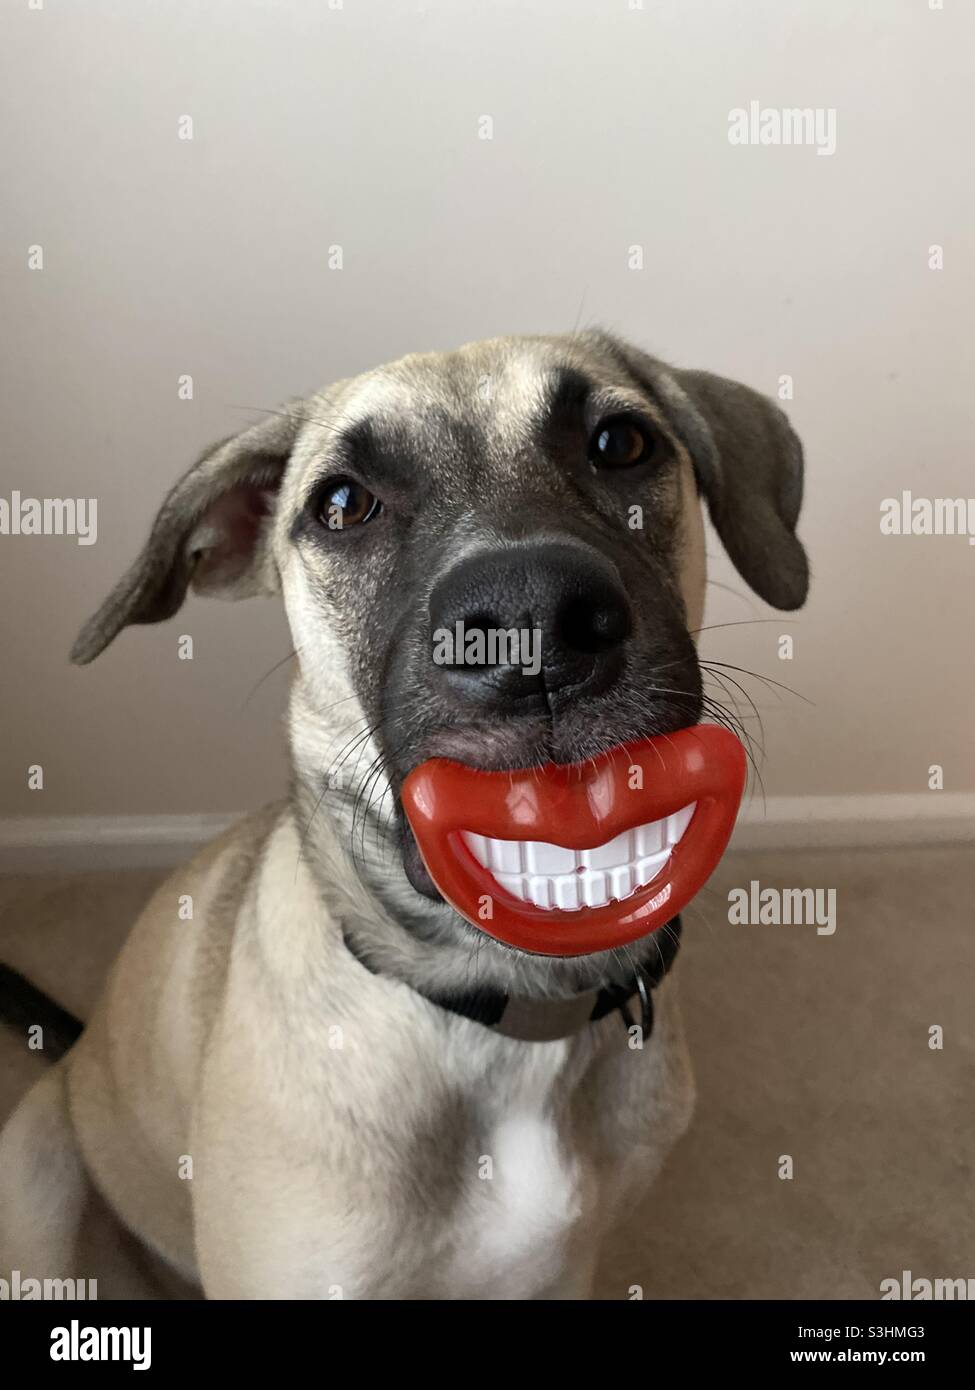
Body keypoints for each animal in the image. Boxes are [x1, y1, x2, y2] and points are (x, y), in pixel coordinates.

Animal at [0, 330, 806, 1295]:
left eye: (619, 443)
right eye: (343, 505)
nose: (533, 624)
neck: (507, 1025)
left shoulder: (565, 1269)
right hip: (37, 1164)